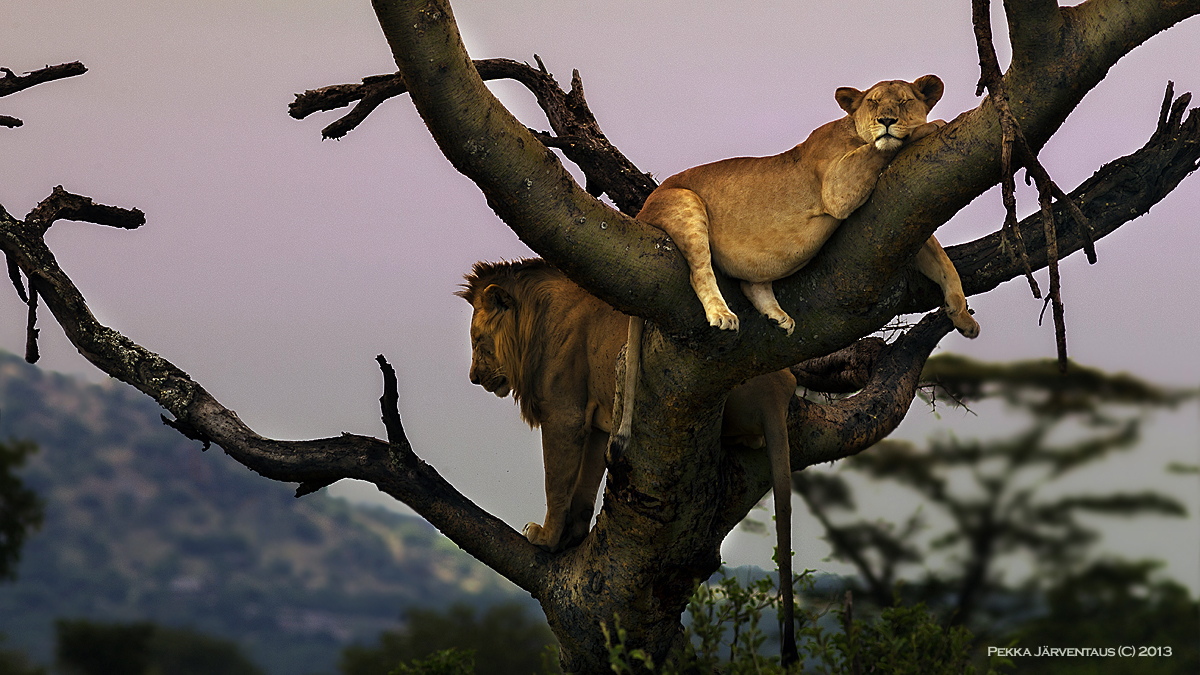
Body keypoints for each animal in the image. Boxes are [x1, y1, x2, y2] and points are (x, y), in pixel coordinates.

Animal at [453, 258, 801, 662]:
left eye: (478, 340)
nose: (473, 377)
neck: (534, 317)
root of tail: (777, 393)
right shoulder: (597, 423)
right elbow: (584, 487)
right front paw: (573, 536)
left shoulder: (565, 414)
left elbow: (556, 482)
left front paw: (546, 539)